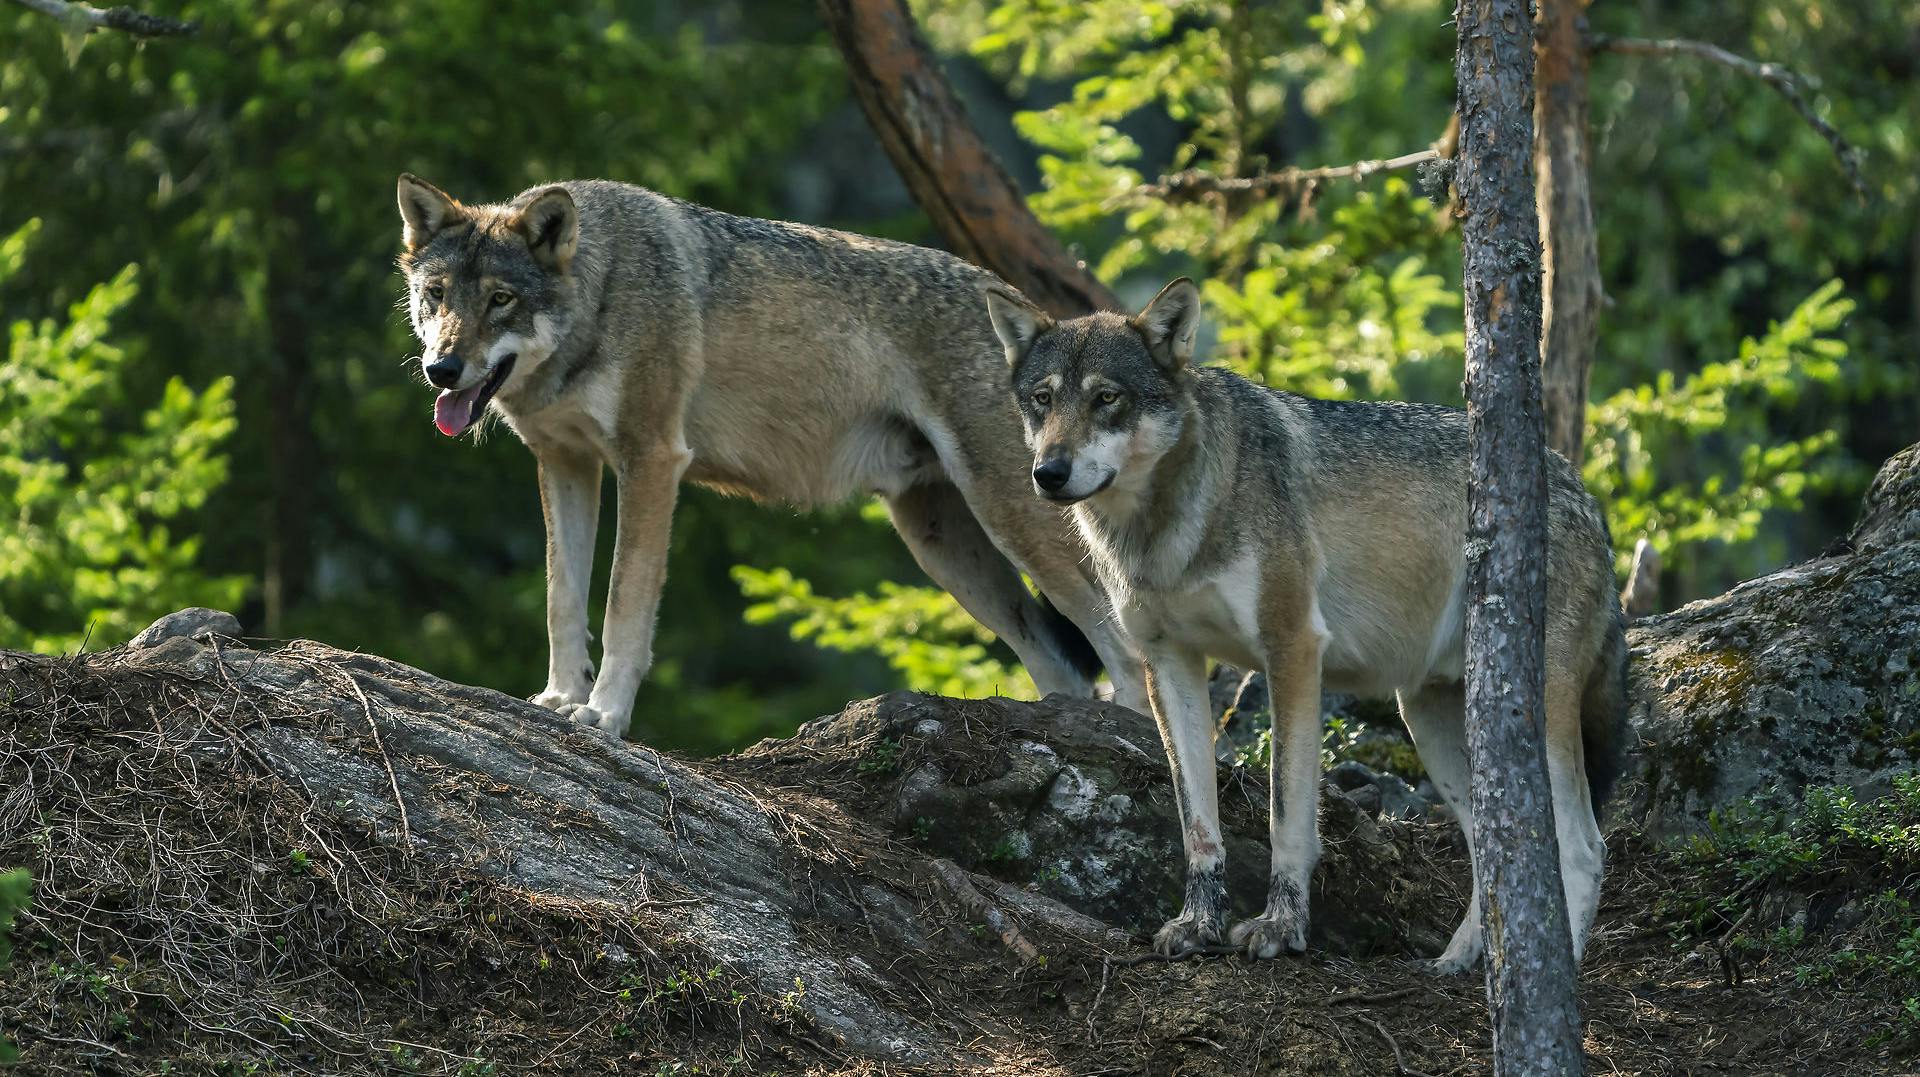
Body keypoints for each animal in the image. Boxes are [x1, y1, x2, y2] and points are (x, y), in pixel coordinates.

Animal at [387, 176, 1136, 737]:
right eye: (437, 296)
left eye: (501, 299)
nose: (441, 369)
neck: (602, 294)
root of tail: (1036, 323)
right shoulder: (566, 465)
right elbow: (562, 599)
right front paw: (556, 700)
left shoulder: (652, 461)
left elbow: (625, 603)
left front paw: (604, 714)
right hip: (946, 549)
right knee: (1068, 670)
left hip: (1015, 523)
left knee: (1123, 650)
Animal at [983, 274, 1628, 967]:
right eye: (1044, 400)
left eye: (1106, 398)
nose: (1048, 473)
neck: (1165, 531)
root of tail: (1583, 491)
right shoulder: (1169, 663)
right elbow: (1197, 822)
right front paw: (1199, 924)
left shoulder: (1291, 650)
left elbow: (1286, 815)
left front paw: (1280, 926)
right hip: (1428, 719)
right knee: (1492, 853)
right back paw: (1458, 963)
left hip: (1528, 717)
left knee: (1584, 848)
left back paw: (1560, 970)